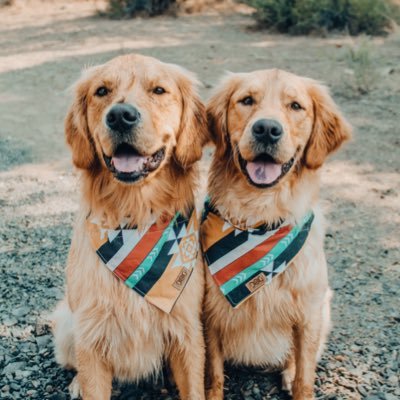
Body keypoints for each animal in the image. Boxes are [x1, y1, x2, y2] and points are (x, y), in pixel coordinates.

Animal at [52, 54, 209, 400]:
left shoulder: (187, 331)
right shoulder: (91, 337)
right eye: (101, 91)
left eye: (159, 90)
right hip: (69, 326)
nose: (120, 116)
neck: (135, 219)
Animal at [203, 69, 350, 400]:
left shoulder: (308, 315)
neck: (260, 219)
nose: (267, 129)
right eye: (246, 100)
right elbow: (213, 375)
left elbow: (305, 376)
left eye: (295, 106)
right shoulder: (209, 314)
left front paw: (298, 382)